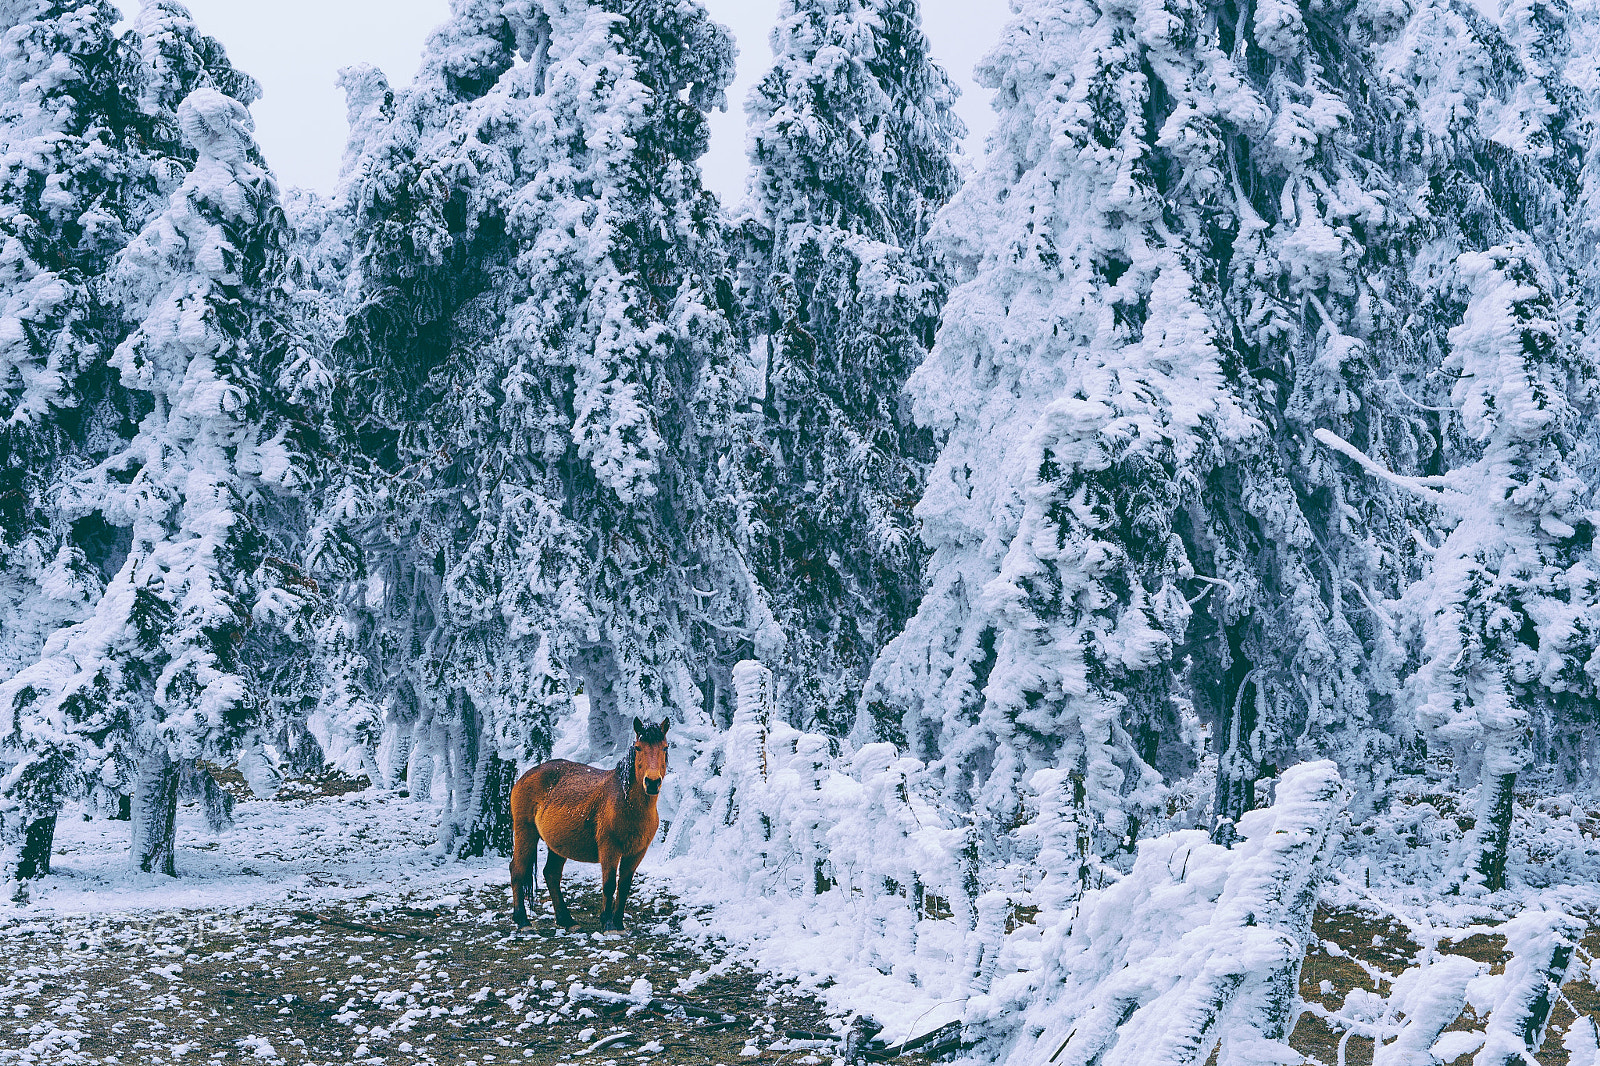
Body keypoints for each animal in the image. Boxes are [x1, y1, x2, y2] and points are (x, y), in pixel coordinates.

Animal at [508, 713, 665, 928]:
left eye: (665, 747)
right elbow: (609, 885)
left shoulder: (636, 853)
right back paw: (523, 920)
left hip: (557, 844)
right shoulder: (609, 849)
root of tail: (526, 775)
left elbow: (624, 886)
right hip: (525, 832)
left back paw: (566, 920)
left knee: (551, 874)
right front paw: (608, 924)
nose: (652, 782)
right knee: (517, 869)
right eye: (638, 748)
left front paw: (618, 923)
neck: (626, 803)